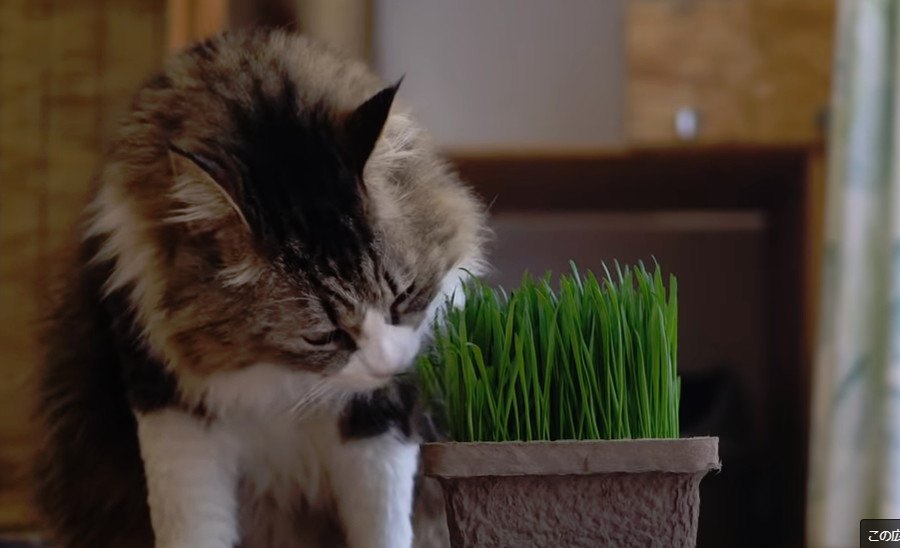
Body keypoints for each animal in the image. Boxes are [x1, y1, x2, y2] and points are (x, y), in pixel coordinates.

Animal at [31, 31, 486, 548]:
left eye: (404, 297)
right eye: (322, 335)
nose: (389, 365)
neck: (279, 378)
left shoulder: (384, 416)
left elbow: (383, 521)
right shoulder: (170, 401)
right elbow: (191, 523)